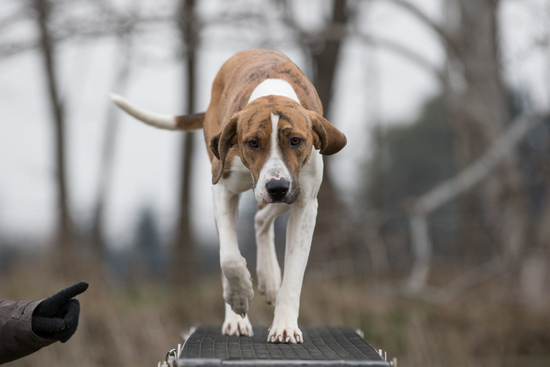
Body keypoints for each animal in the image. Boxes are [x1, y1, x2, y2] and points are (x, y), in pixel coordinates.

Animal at [110, 49, 348, 344]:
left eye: (296, 141)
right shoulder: (223, 189)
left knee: (261, 219)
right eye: (252, 143)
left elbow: (294, 271)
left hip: (289, 193)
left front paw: (284, 325)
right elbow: (230, 258)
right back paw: (236, 315)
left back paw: (270, 278)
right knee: (236, 237)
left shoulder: (305, 203)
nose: (277, 187)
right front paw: (239, 296)